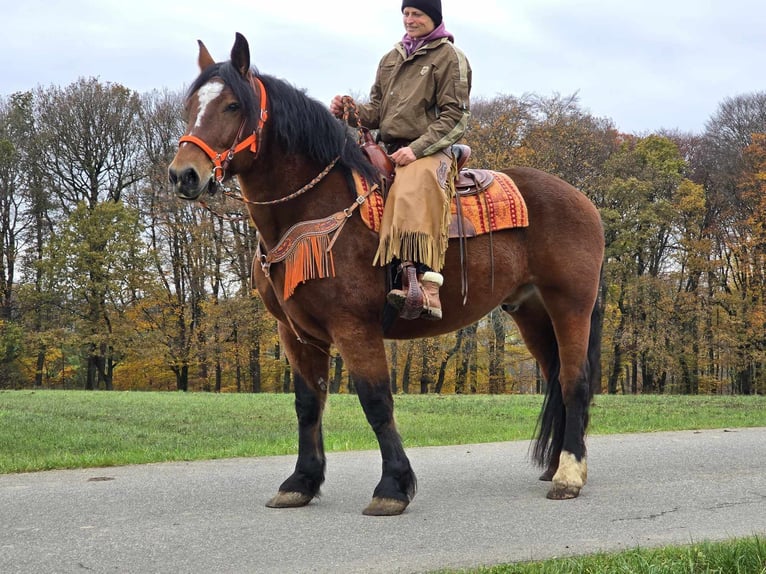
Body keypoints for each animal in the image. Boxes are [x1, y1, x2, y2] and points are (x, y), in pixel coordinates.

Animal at [168, 32, 608, 516]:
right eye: (191, 106)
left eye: (232, 105)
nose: (184, 175)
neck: (314, 209)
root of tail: (582, 200)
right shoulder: (296, 333)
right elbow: (308, 404)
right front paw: (301, 482)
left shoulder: (353, 326)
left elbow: (376, 400)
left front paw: (393, 487)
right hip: (531, 312)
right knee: (556, 379)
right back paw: (557, 465)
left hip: (570, 306)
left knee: (574, 381)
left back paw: (569, 475)